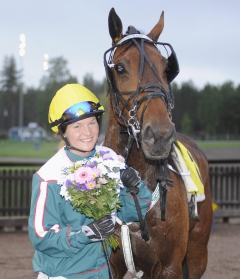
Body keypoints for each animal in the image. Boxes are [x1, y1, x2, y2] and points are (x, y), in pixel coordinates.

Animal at [102, 7, 212, 278]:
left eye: (165, 68)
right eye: (120, 68)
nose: (160, 134)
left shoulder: (170, 266)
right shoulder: (111, 264)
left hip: (198, 251)